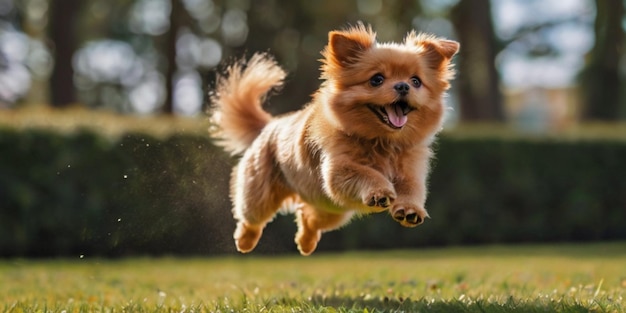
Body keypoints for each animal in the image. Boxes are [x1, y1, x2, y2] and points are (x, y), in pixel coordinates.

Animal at [210, 23, 458, 254]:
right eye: (376, 80)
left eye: (416, 81)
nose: (403, 86)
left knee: (308, 217)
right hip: (260, 195)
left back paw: (306, 243)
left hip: (332, 209)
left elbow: (412, 190)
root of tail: (270, 125)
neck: (382, 142)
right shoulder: (337, 171)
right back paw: (245, 241)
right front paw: (379, 191)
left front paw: (409, 209)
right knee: (252, 218)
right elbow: (367, 173)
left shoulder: (410, 173)